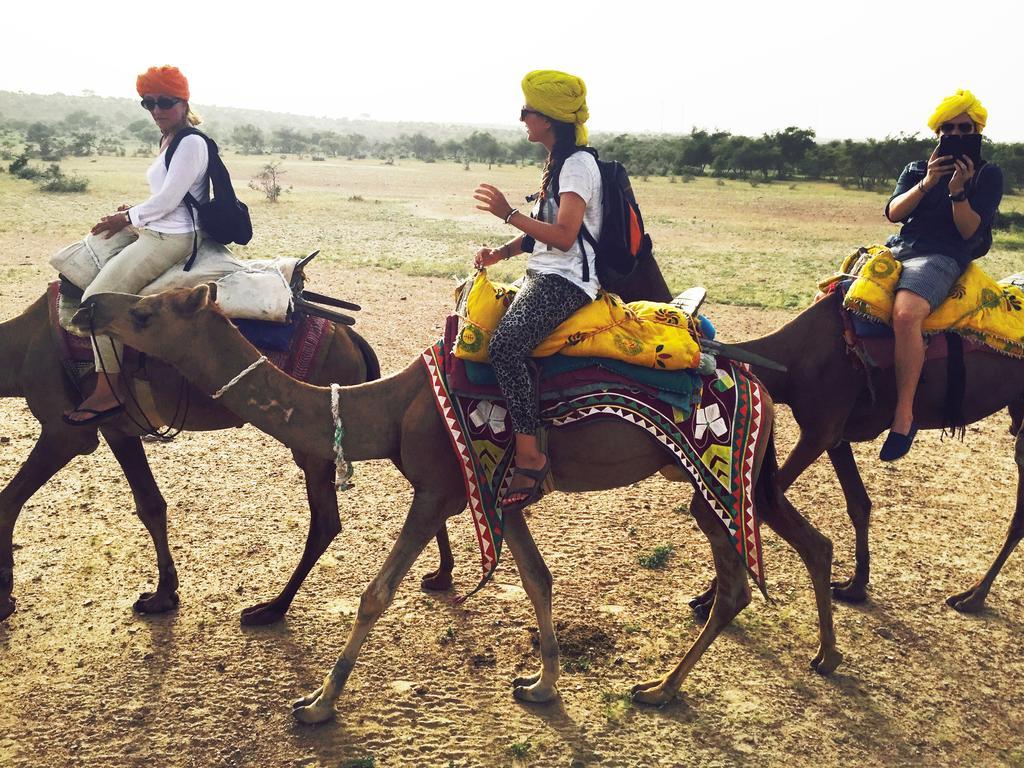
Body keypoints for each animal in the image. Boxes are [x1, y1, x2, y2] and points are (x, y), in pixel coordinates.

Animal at [0, 286, 456, 626]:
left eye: (144, 314)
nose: (88, 308)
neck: (20, 350)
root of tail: (353, 339)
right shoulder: (118, 428)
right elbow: (150, 505)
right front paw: (163, 595)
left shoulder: (66, 430)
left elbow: (8, 500)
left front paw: (4, 598)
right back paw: (441, 574)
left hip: (320, 442)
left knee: (328, 520)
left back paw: (271, 609)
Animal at [79, 282, 843, 720]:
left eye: (144, 313)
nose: (88, 305)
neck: (386, 410)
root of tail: (755, 380)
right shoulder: (503, 495)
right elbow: (538, 579)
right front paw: (542, 684)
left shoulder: (439, 490)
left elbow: (375, 595)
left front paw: (318, 703)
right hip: (727, 480)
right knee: (790, 551)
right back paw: (801, 661)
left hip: (718, 475)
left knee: (745, 575)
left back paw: (663, 688)